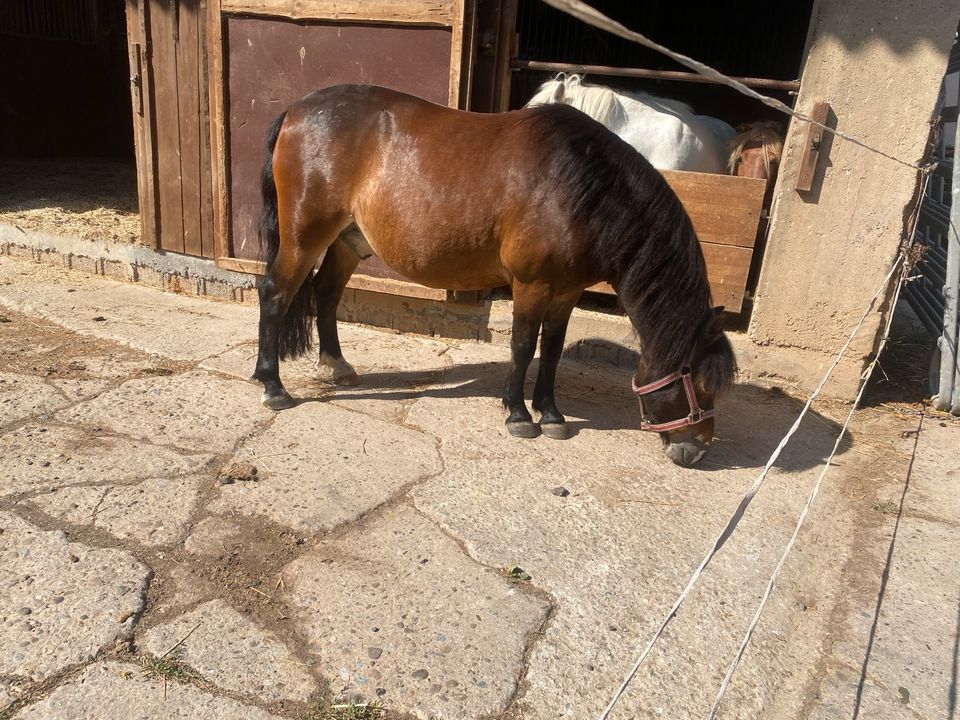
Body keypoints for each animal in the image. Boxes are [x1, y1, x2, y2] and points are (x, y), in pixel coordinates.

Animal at [253, 84, 736, 466]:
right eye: (701, 383)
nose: (697, 450)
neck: (578, 185)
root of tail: (296, 110)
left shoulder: (567, 291)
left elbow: (552, 350)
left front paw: (552, 414)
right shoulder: (531, 284)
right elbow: (523, 347)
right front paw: (519, 415)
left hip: (348, 239)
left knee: (326, 292)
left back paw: (336, 365)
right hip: (303, 237)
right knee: (275, 295)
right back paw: (272, 386)